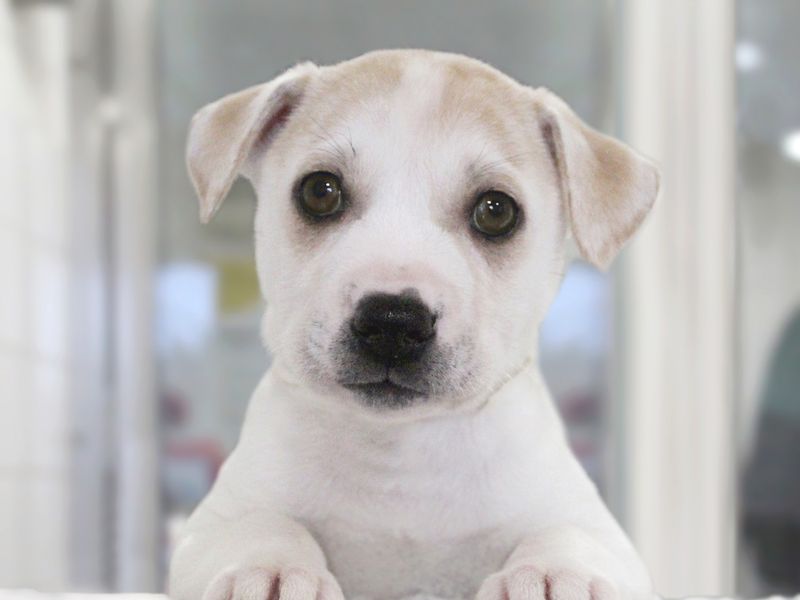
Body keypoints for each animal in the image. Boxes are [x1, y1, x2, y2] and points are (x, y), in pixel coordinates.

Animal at [167, 48, 656, 600]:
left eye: (496, 211)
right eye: (320, 191)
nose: (393, 322)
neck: (399, 455)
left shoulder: (599, 530)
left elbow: (567, 533)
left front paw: (556, 573)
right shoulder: (210, 525)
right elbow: (263, 523)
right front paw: (269, 566)